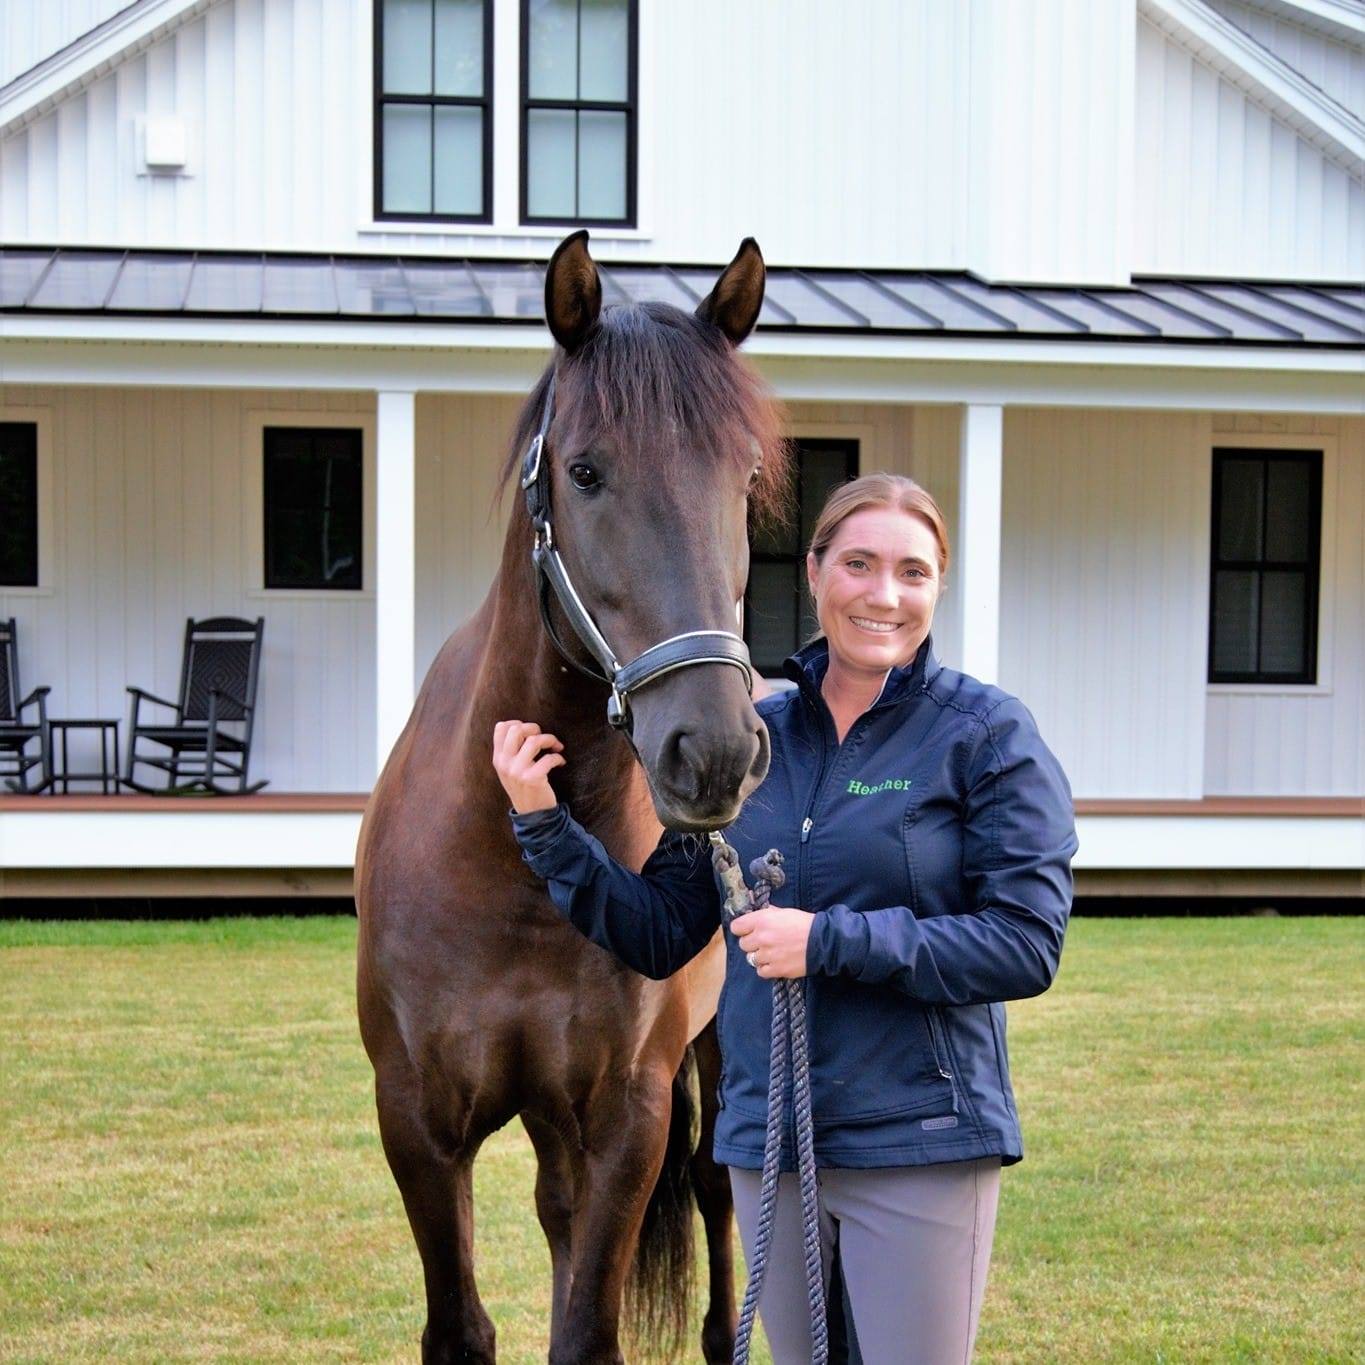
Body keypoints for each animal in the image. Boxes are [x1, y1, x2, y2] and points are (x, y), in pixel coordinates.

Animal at [354, 237, 791, 1365]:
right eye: (586, 471)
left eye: (743, 480)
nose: (712, 752)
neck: (510, 864)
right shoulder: (417, 1121)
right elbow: (462, 1328)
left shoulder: (625, 1116)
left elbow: (588, 1330)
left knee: (718, 1210)